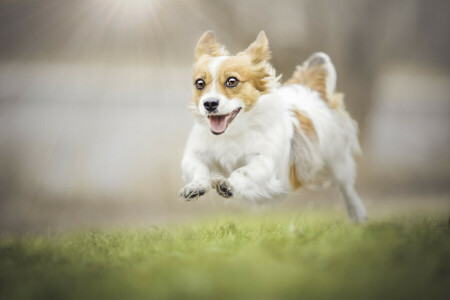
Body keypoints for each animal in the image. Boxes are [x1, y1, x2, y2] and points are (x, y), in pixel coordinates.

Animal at [180, 31, 370, 223]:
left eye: (232, 81)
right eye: (199, 83)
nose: (209, 103)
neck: (233, 131)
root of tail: (309, 91)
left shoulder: (265, 163)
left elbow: (243, 171)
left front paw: (229, 185)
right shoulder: (195, 155)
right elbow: (198, 167)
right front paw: (196, 186)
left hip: (338, 163)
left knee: (346, 189)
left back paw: (358, 215)